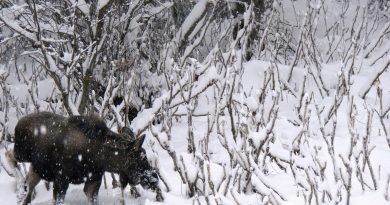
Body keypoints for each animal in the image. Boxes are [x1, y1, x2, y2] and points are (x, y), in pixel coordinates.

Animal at [4, 111, 160, 204]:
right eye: (141, 159)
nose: (154, 180)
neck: (100, 159)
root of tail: (18, 122)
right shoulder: (61, 181)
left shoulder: (93, 182)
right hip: (22, 153)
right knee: (9, 154)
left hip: (37, 169)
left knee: (28, 190)